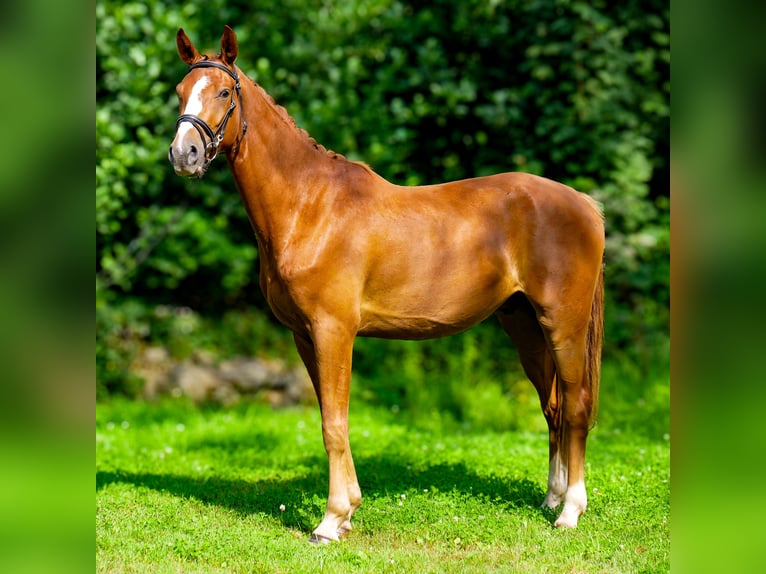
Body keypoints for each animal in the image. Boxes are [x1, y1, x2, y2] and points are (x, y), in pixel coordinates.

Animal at [168, 23, 608, 544]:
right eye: (180, 92)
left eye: (224, 92)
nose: (184, 154)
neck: (309, 204)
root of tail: (584, 204)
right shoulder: (304, 336)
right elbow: (331, 418)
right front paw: (348, 512)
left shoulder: (333, 331)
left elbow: (334, 425)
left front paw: (331, 520)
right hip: (525, 327)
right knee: (554, 408)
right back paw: (552, 499)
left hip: (564, 324)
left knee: (576, 407)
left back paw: (570, 511)